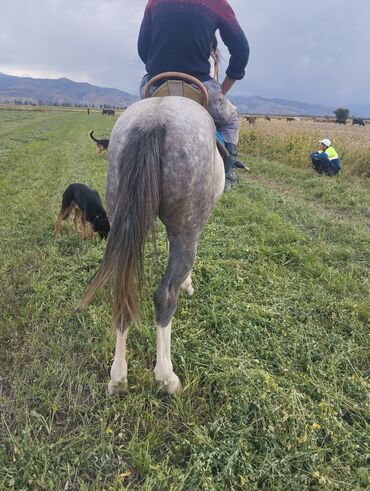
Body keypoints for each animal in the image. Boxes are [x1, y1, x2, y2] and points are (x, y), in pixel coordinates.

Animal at [80, 96, 224, 396]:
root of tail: (153, 120)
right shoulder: (189, 231)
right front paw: (188, 284)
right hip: (186, 227)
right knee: (165, 295)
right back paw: (166, 376)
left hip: (120, 214)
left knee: (122, 294)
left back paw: (118, 377)